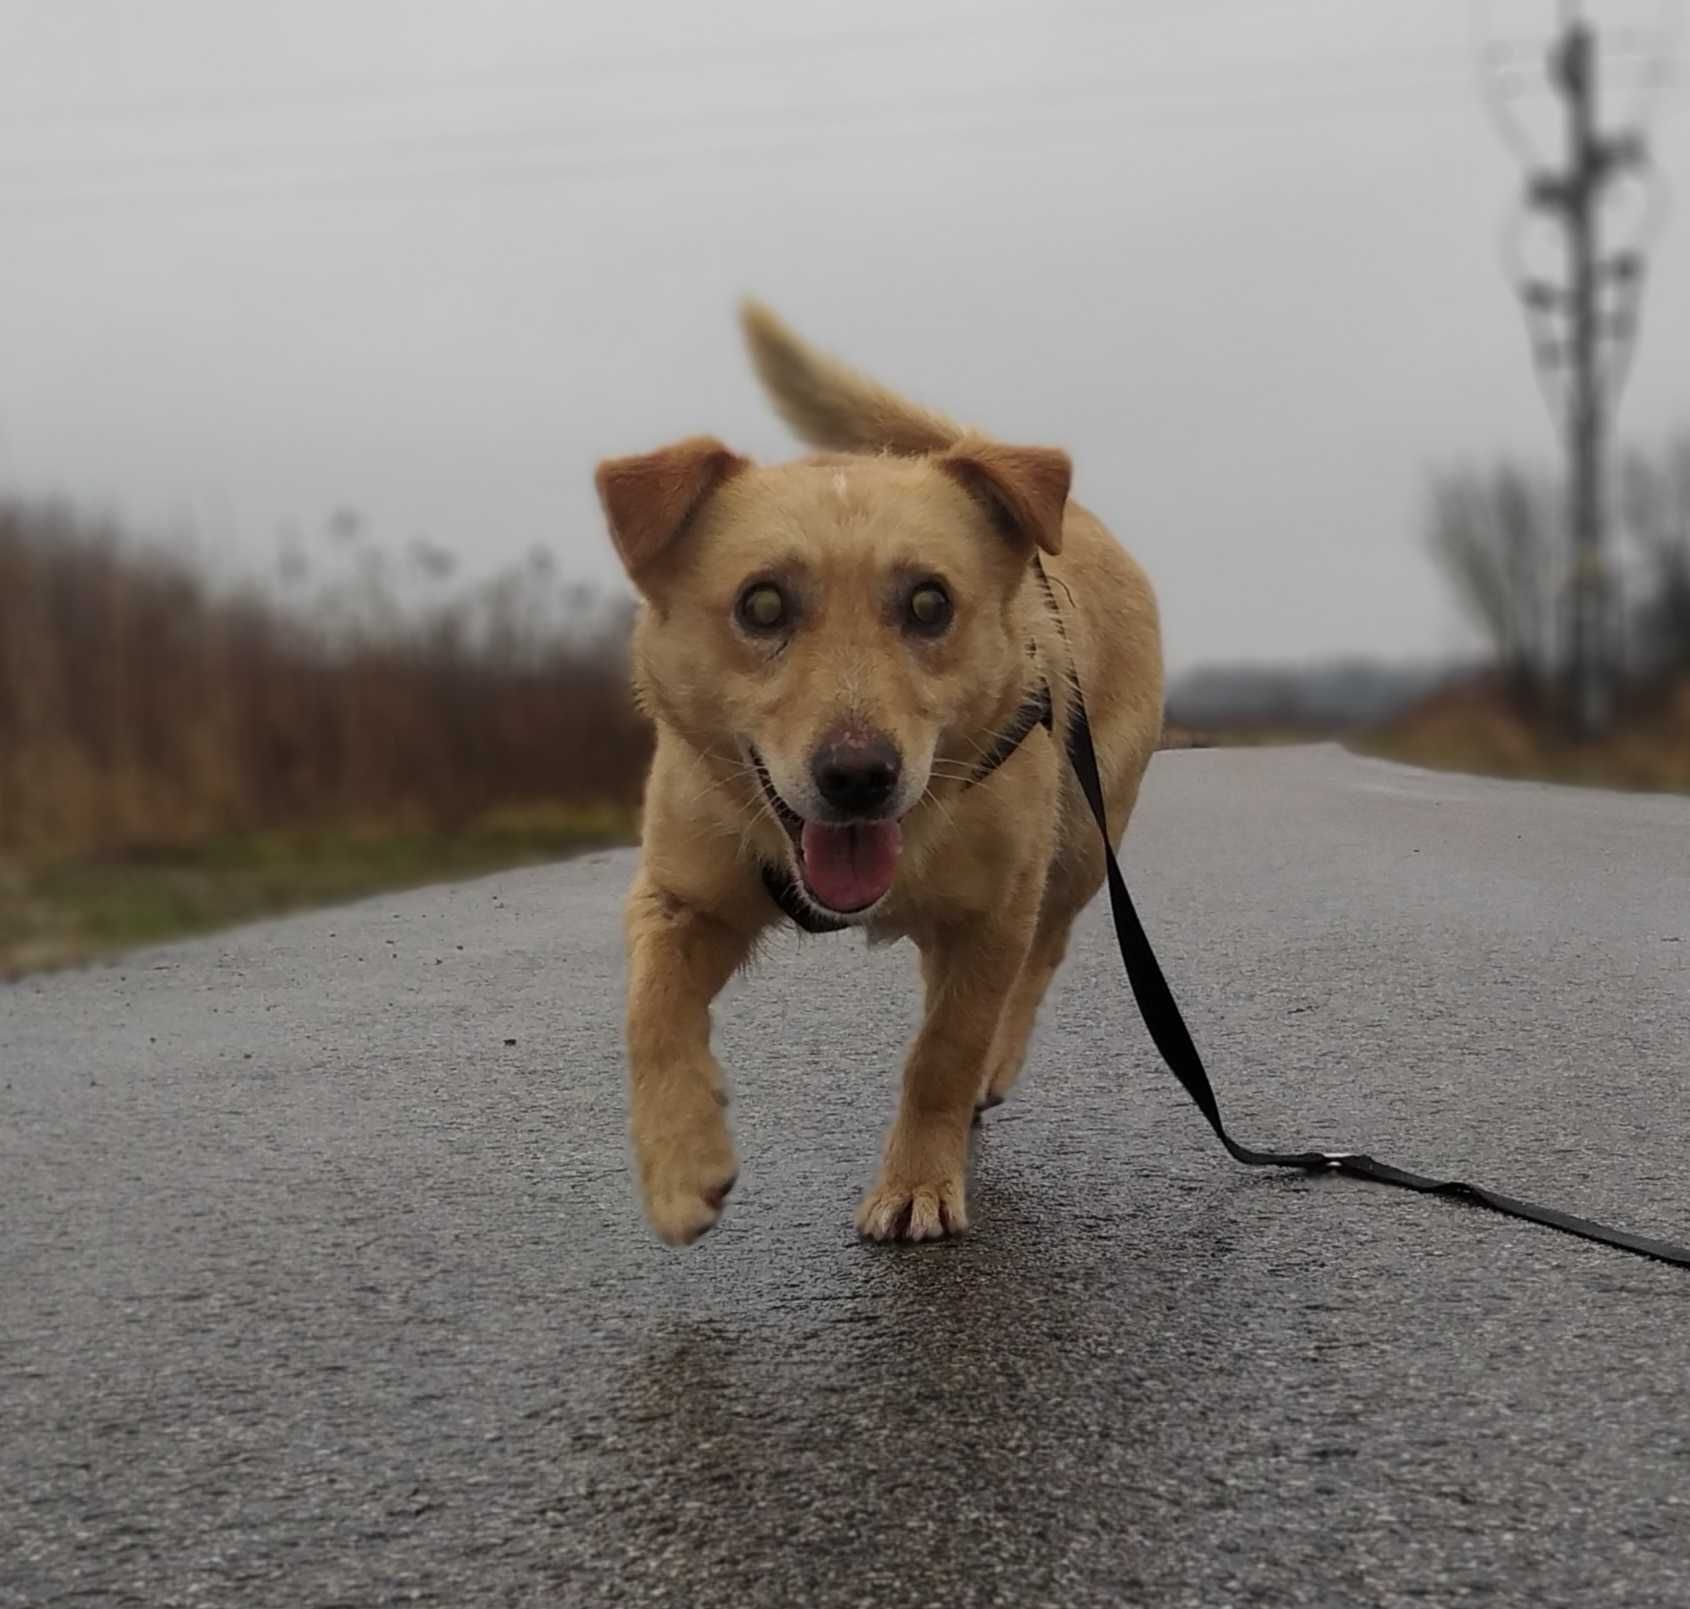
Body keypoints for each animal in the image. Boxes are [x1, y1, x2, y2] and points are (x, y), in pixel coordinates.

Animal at [594, 307, 1162, 1250]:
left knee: (1040, 954)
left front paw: (917, 1180)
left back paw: (995, 1062)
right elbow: (651, 1009)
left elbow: (942, 1051)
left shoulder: (996, 912)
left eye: (931, 603)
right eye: (761, 605)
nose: (858, 775)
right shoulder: (682, 895)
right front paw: (679, 1163)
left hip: (1084, 845)